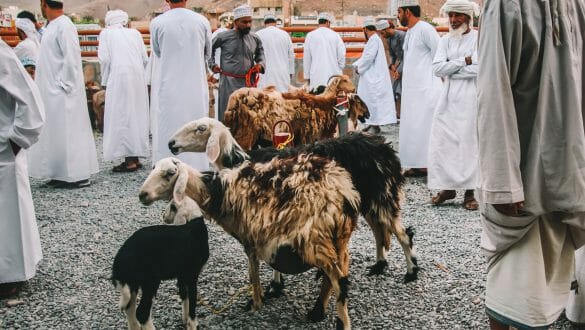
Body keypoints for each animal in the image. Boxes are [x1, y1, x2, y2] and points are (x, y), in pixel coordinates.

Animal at [110, 195, 209, 328]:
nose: (163, 216)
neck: (194, 222)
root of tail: (122, 256)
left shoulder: (182, 275)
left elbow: (185, 296)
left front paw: (185, 320)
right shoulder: (191, 274)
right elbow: (192, 303)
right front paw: (192, 325)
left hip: (133, 283)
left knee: (130, 309)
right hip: (150, 281)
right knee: (142, 312)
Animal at [140, 155, 362, 330]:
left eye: (170, 173)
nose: (142, 195)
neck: (217, 192)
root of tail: (342, 192)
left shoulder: (250, 239)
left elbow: (253, 273)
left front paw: (256, 303)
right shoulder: (257, 237)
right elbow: (254, 272)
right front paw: (263, 296)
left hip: (315, 239)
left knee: (339, 281)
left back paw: (341, 322)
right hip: (339, 239)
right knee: (338, 272)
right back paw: (319, 310)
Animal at [167, 117, 418, 280]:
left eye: (200, 129)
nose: (171, 144)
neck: (241, 162)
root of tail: (383, 146)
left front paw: (274, 287)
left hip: (382, 194)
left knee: (402, 233)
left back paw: (411, 272)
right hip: (369, 199)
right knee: (379, 232)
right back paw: (379, 265)